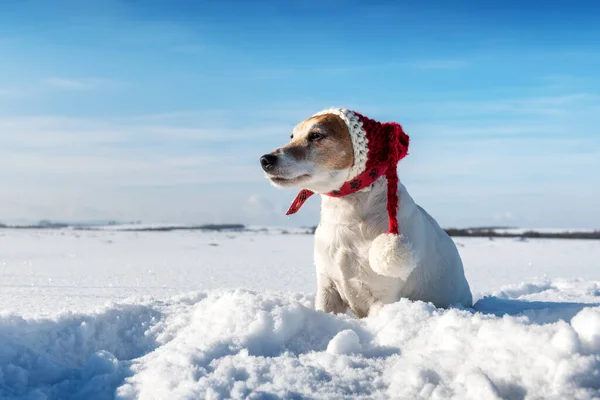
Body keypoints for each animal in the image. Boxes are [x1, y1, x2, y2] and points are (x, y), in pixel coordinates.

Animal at [260, 108, 472, 318]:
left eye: (316, 135)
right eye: (292, 136)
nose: (265, 160)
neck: (345, 217)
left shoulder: (384, 296)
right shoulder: (327, 286)